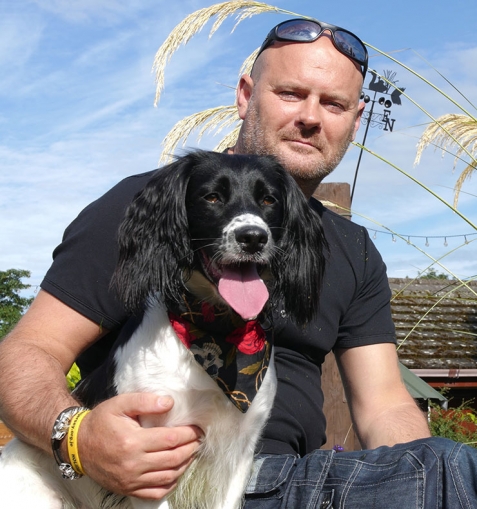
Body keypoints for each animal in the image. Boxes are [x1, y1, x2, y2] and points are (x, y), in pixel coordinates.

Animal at [0, 151, 324, 508]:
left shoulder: (239, 451)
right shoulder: (149, 458)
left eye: (269, 199)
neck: (214, 331)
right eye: (212, 197)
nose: (253, 237)